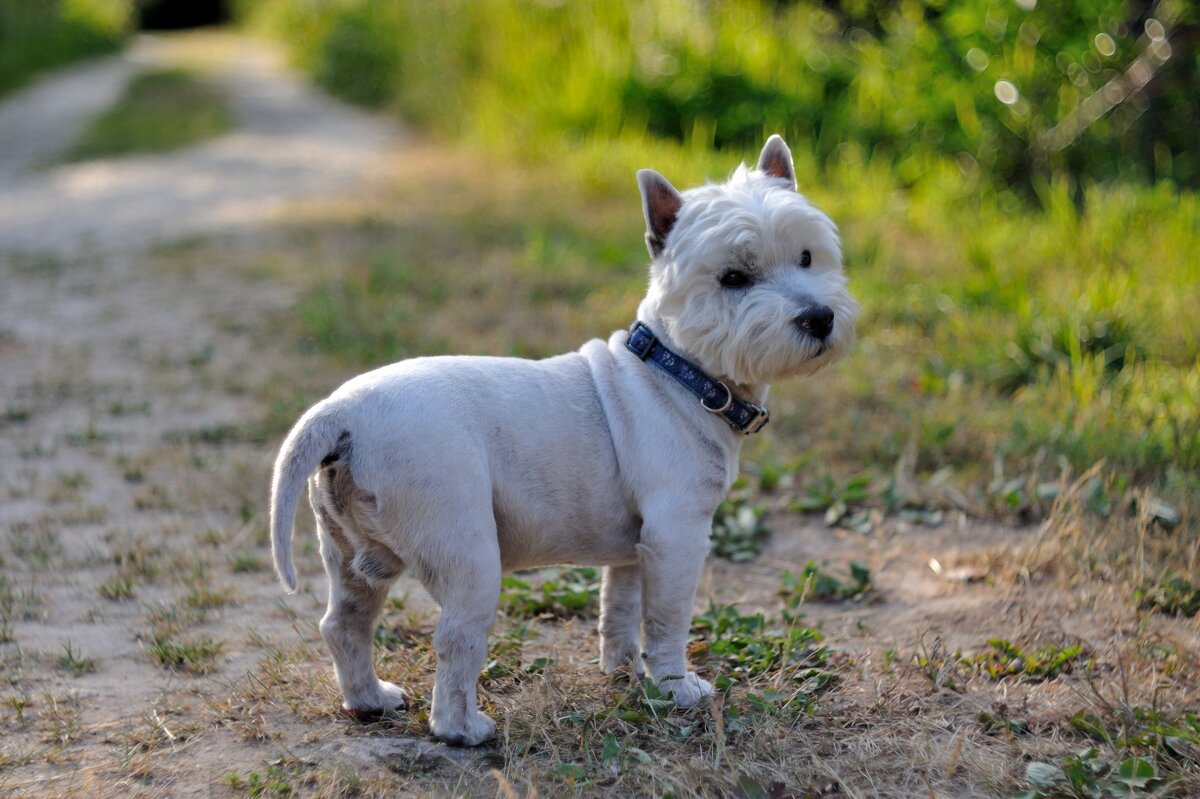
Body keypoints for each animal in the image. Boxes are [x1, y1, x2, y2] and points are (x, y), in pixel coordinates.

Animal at [272, 135, 854, 739]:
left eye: (807, 257)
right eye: (733, 278)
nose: (819, 318)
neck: (679, 373)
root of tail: (341, 411)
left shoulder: (634, 549)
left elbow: (618, 610)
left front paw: (624, 672)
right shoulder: (679, 535)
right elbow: (667, 619)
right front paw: (676, 688)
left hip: (357, 554)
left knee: (343, 623)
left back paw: (369, 699)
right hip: (465, 549)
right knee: (455, 639)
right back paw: (464, 729)